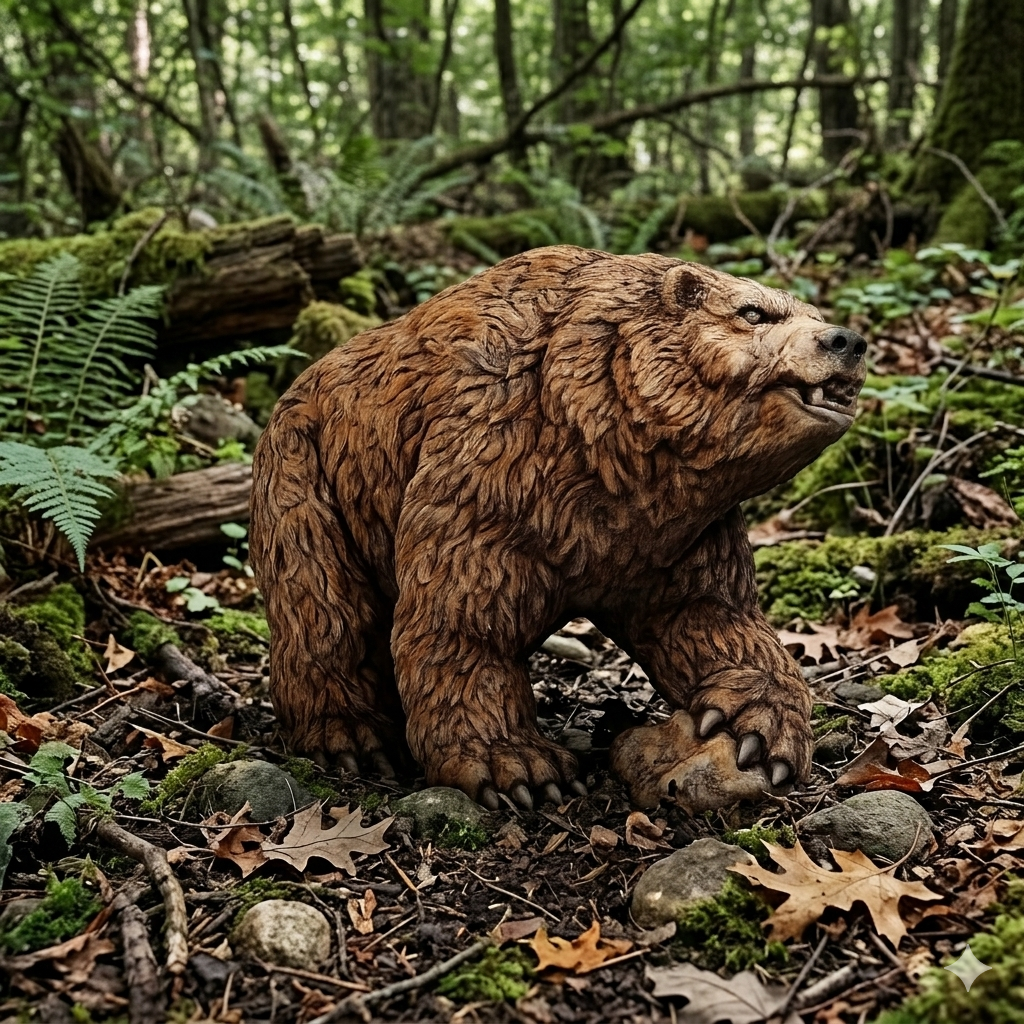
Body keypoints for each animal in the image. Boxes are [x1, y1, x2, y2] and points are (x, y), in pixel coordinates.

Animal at [249, 245, 866, 811]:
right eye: (753, 312)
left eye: (812, 311)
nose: (847, 341)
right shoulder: (496, 467)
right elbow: (462, 620)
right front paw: (522, 769)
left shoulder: (678, 532)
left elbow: (709, 613)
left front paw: (758, 733)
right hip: (306, 477)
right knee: (324, 607)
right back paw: (351, 738)